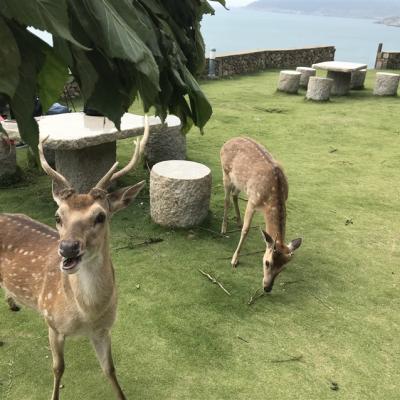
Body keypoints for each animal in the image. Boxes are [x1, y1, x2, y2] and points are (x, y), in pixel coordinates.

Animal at [0, 115, 150, 396]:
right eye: (58, 216)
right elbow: (58, 369)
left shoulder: (103, 330)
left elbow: (110, 370)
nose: (68, 248)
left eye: (100, 216)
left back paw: (12, 302)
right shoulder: (52, 323)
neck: (86, 314)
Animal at [220, 137, 302, 290]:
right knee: (227, 199)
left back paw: (238, 221)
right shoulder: (252, 201)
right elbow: (246, 230)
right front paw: (234, 260)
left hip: (240, 182)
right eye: (267, 262)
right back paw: (224, 228)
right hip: (226, 172)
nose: (267, 288)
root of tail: (228, 141)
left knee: (234, 194)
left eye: (283, 268)